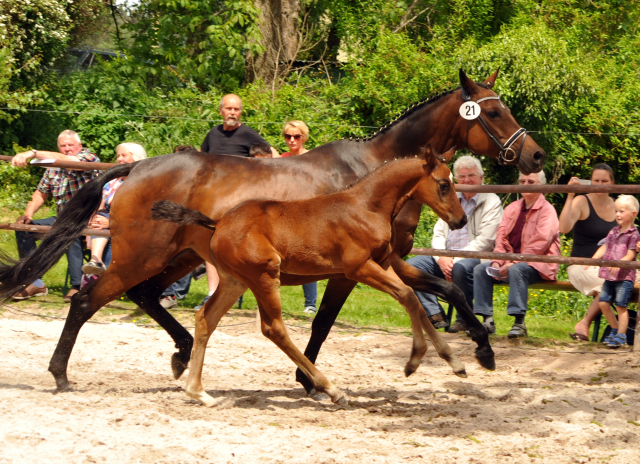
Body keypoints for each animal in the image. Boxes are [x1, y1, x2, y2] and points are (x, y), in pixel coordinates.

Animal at [152, 148, 468, 406]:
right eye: (443, 184)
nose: (461, 219)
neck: (367, 206)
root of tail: (217, 223)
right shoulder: (358, 269)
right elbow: (407, 296)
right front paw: (414, 360)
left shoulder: (383, 264)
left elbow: (413, 298)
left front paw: (455, 362)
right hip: (265, 275)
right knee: (274, 329)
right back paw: (331, 389)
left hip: (235, 281)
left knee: (206, 318)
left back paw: (200, 393)